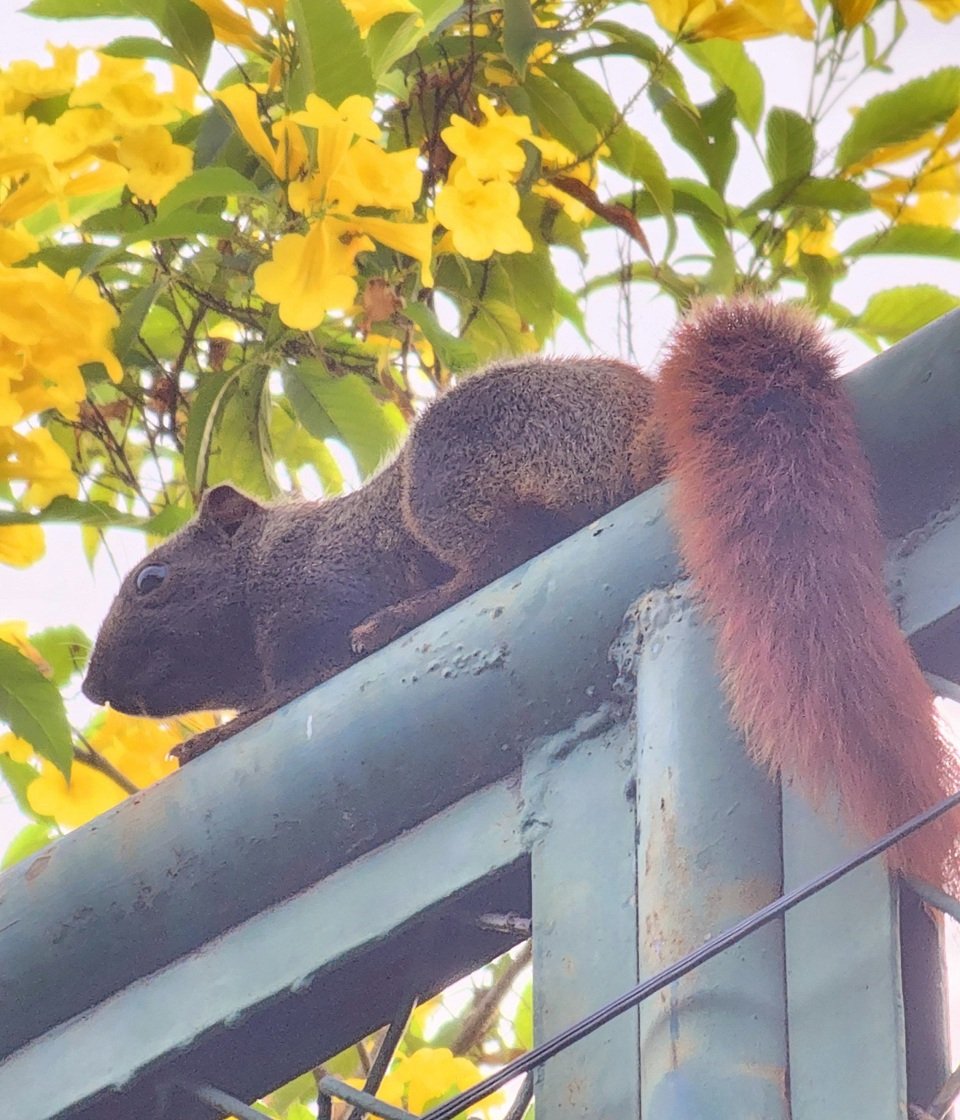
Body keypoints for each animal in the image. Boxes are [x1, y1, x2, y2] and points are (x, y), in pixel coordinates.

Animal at [84, 300, 958, 891]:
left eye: (152, 582)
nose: (92, 686)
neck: (273, 558)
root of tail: (641, 433)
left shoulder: (314, 608)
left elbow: (291, 690)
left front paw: (211, 737)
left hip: (454, 470)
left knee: (501, 552)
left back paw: (398, 618)